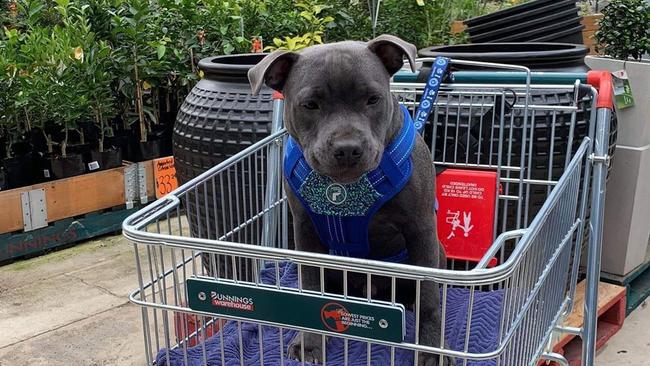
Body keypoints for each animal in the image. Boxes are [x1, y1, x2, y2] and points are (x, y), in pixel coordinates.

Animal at [247, 35, 446, 366]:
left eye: (373, 99)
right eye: (310, 105)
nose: (348, 148)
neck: (344, 189)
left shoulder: (420, 229)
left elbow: (429, 297)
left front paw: (432, 351)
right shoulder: (305, 232)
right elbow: (311, 288)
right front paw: (310, 343)